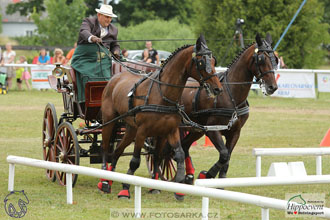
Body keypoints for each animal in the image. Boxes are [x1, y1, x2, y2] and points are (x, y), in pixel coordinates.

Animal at [98, 35, 222, 199]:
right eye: (201, 62)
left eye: (214, 61)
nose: (217, 89)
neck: (163, 94)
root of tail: (114, 78)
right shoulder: (142, 132)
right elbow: (135, 160)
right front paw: (125, 188)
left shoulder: (169, 131)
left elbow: (173, 155)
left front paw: (176, 186)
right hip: (109, 122)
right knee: (106, 148)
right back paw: (104, 181)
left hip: (131, 128)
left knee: (117, 150)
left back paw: (111, 179)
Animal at [178, 32, 278, 184]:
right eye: (261, 59)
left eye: (275, 59)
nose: (273, 87)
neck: (231, 94)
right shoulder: (212, 130)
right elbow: (224, 155)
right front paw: (206, 175)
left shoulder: (235, 132)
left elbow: (227, 157)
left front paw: (221, 182)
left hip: (196, 129)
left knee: (184, 145)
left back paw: (188, 176)